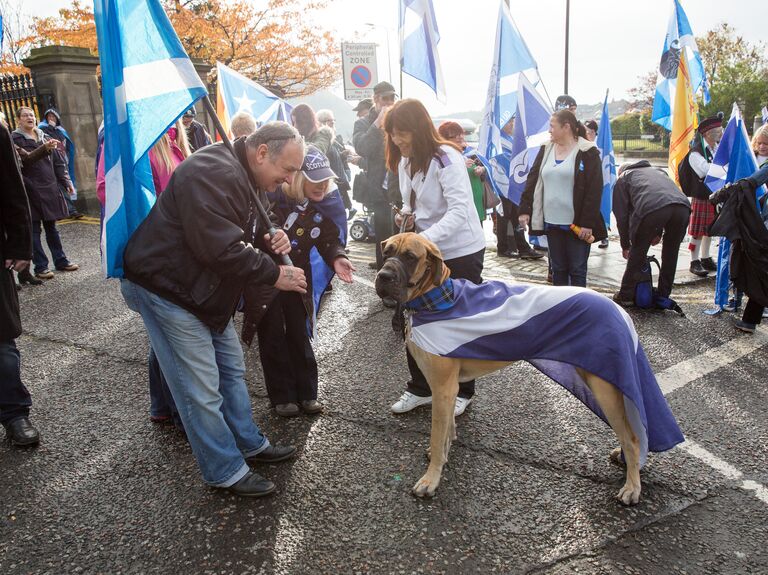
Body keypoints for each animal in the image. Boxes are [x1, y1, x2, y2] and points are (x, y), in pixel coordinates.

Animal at [376, 233, 644, 504]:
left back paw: (632, 487)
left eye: (410, 257)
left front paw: (430, 479)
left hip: (605, 389)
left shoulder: (443, 387)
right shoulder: (446, 390)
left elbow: (436, 432)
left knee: (632, 438)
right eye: (386, 252)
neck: (435, 301)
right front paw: (442, 453)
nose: (383, 276)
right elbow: (447, 428)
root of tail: (619, 311)